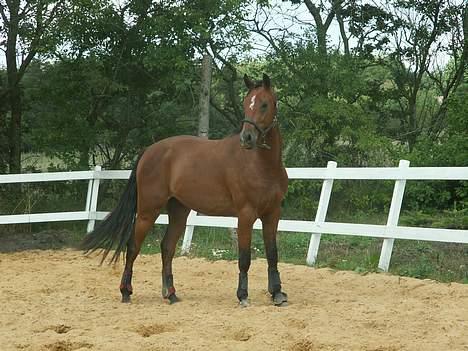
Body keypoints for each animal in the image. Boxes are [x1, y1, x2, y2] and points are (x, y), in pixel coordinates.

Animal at [82, 74, 288, 308]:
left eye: (264, 104)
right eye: (246, 104)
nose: (247, 138)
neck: (262, 166)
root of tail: (149, 150)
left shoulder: (272, 214)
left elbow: (272, 254)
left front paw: (277, 293)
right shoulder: (246, 214)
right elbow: (244, 258)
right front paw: (243, 295)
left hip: (179, 211)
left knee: (167, 247)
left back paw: (171, 294)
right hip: (147, 211)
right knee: (134, 246)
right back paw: (126, 291)